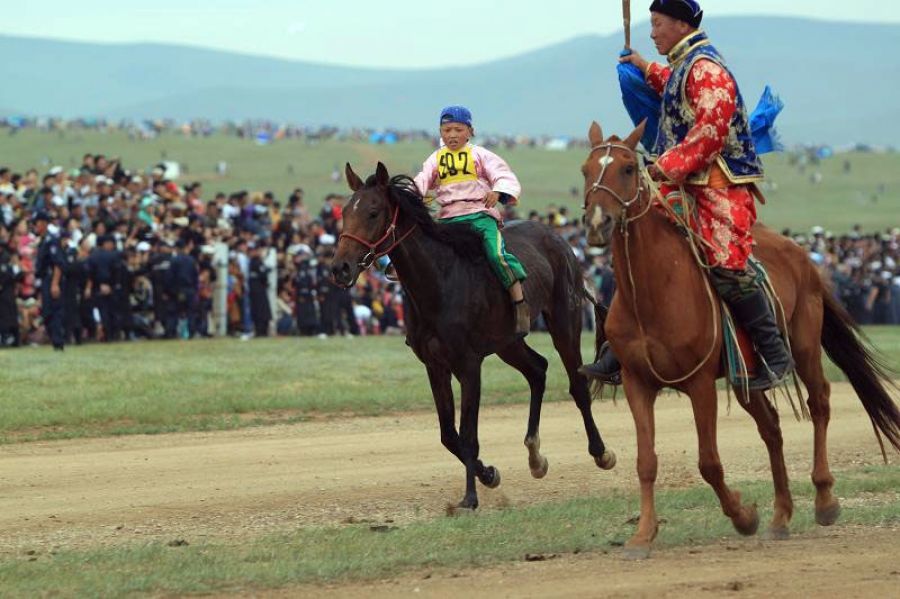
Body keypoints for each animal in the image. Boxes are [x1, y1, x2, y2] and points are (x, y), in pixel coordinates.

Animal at [332, 162, 616, 509]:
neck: (440, 281)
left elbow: (468, 435)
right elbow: (449, 434)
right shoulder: (435, 365)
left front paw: (469, 498)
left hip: (565, 319)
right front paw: (488, 474)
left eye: (373, 212)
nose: (340, 268)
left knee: (577, 384)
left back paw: (601, 452)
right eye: (346, 211)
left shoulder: (468, 365)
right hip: (508, 341)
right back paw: (535, 456)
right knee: (538, 370)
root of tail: (560, 241)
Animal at [581, 120, 900, 558]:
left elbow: (709, 462)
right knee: (772, 428)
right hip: (747, 376)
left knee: (819, 404)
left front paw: (744, 517)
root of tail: (801, 255)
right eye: (585, 170)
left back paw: (824, 499)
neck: (651, 291)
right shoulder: (636, 382)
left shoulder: (700, 385)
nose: (598, 223)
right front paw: (642, 535)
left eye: (628, 169)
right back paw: (781, 515)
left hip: (804, 346)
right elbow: (646, 462)